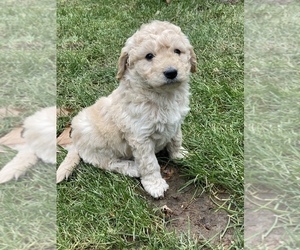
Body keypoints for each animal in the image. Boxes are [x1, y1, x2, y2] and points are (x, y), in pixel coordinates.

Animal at [56, 20, 197, 198]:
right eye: (149, 56)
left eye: (177, 51)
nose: (171, 72)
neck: (163, 95)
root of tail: (75, 140)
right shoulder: (140, 137)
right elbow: (149, 163)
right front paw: (154, 185)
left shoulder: (176, 122)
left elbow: (176, 139)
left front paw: (180, 155)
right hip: (96, 142)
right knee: (106, 162)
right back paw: (133, 168)